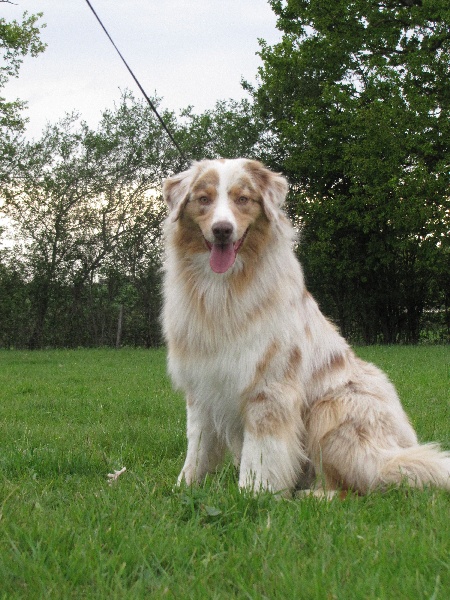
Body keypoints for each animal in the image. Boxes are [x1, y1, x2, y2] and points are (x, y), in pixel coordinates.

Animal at [162, 157, 450, 494]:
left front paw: (252, 495)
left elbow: (260, 455)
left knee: (354, 488)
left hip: (332, 409)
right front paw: (182, 488)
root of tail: (395, 453)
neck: (222, 290)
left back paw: (310, 496)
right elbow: (197, 447)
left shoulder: (269, 388)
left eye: (242, 199)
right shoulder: (202, 386)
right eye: (204, 199)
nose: (222, 230)